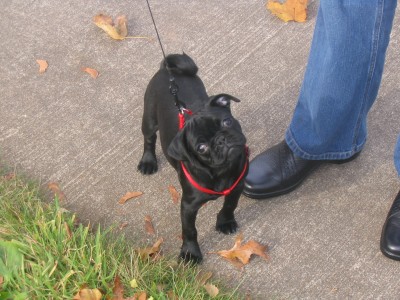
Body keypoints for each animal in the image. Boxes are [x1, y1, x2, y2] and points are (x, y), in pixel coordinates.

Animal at [139, 53, 248, 262]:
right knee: (149, 139)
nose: (220, 140)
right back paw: (148, 162)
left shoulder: (236, 187)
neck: (220, 172)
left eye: (226, 122)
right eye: (201, 147)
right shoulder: (188, 206)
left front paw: (225, 222)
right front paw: (190, 253)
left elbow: (230, 205)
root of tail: (167, 70)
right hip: (148, 118)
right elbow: (189, 230)